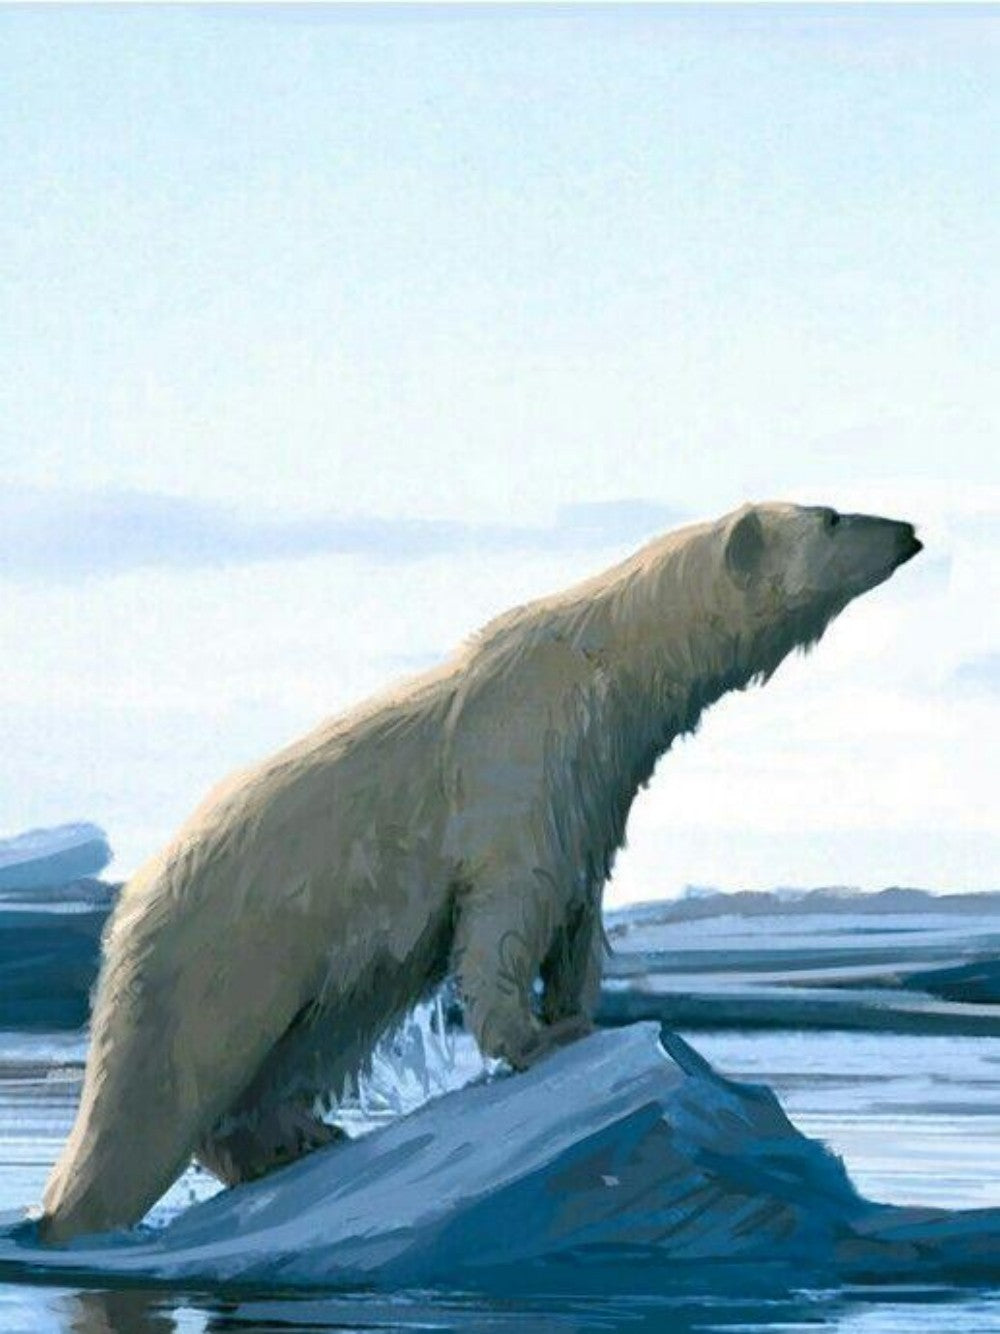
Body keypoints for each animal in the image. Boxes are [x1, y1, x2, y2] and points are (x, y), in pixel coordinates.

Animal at [39, 501, 921, 1241]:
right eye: (832, 515)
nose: (908, 530)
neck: (603, 665)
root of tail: (127, 913)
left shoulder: (593, 786)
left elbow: (577, 906)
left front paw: (579, 1008)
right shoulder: (518, 760)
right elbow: (507, 908)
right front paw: (540, 1038)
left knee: (292, 1057)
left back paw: (297, 1137)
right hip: (221, 953)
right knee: (153, 1103)